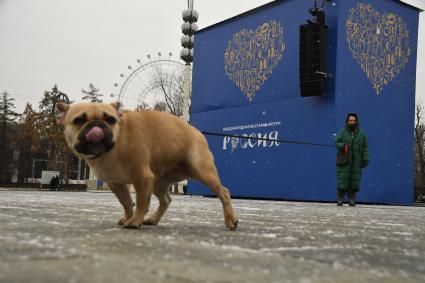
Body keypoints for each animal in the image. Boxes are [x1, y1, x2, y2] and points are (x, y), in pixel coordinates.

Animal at [56, 102, 238, 231]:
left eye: (110, 120)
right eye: (79, 120)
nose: (97, 125)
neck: (116, 146)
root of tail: (196, 131)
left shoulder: (142, 177)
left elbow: (141, 202)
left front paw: (135, 220)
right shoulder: (116, 183)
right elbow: (127, 203)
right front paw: (129, 217)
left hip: (202, 171)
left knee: (224, 192)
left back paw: (230, 220)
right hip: (158, 182)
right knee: (166, 200)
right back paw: (153, 219)